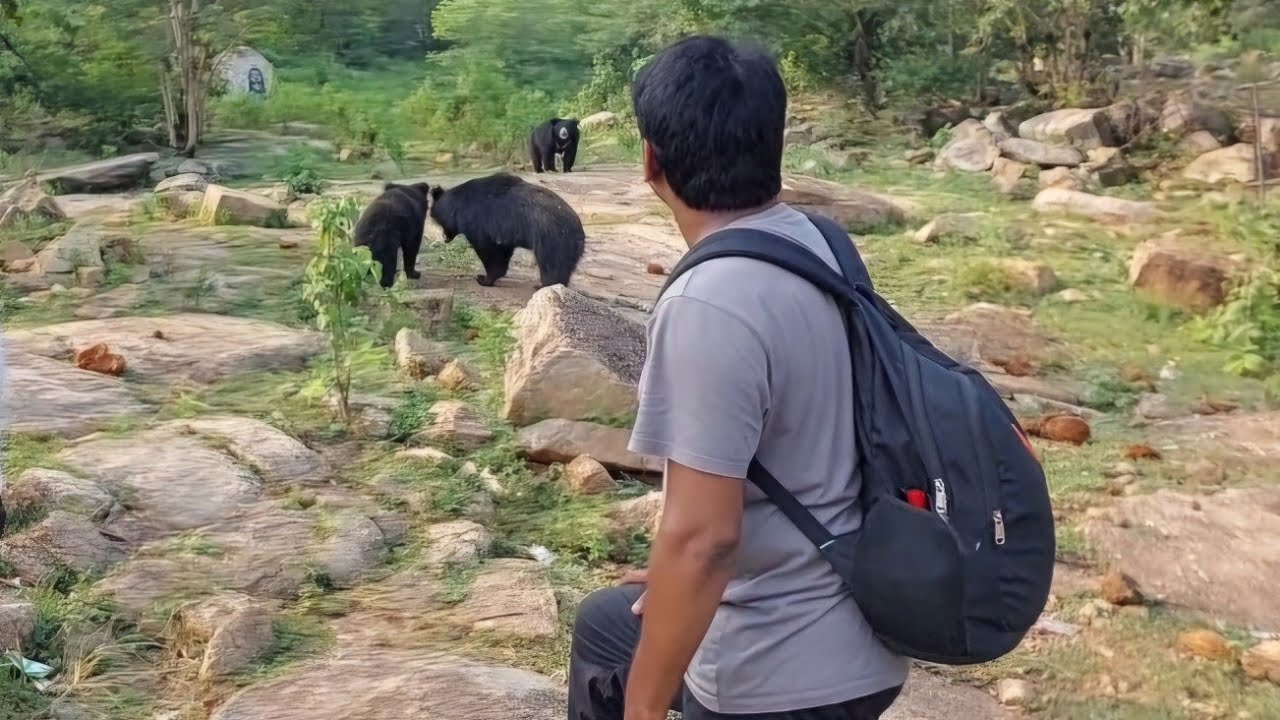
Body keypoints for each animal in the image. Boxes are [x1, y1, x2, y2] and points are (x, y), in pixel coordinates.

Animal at [429, 173, 586, 289]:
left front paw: (483, 278)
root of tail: (579, 233)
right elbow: (503, 249)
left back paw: (544, 285)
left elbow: (489, 250)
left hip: (551, 239)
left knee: (552, 264)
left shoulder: (479, 222)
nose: (444, 239)